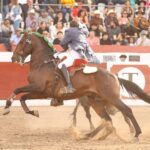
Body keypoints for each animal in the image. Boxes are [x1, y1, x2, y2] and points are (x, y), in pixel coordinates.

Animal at [3, 31, 150, 141]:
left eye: (22, 42)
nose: (13, 58)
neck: (43, 63)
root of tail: (114, 75)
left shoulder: (38, 88)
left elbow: (18, 90)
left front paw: (8, 106)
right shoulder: (42, 93)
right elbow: (22, 97)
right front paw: (29, 111)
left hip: (111, 98)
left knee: (126, 111)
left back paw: (136, 134)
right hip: (96, 101)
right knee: (107, 119)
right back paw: (88, 136)